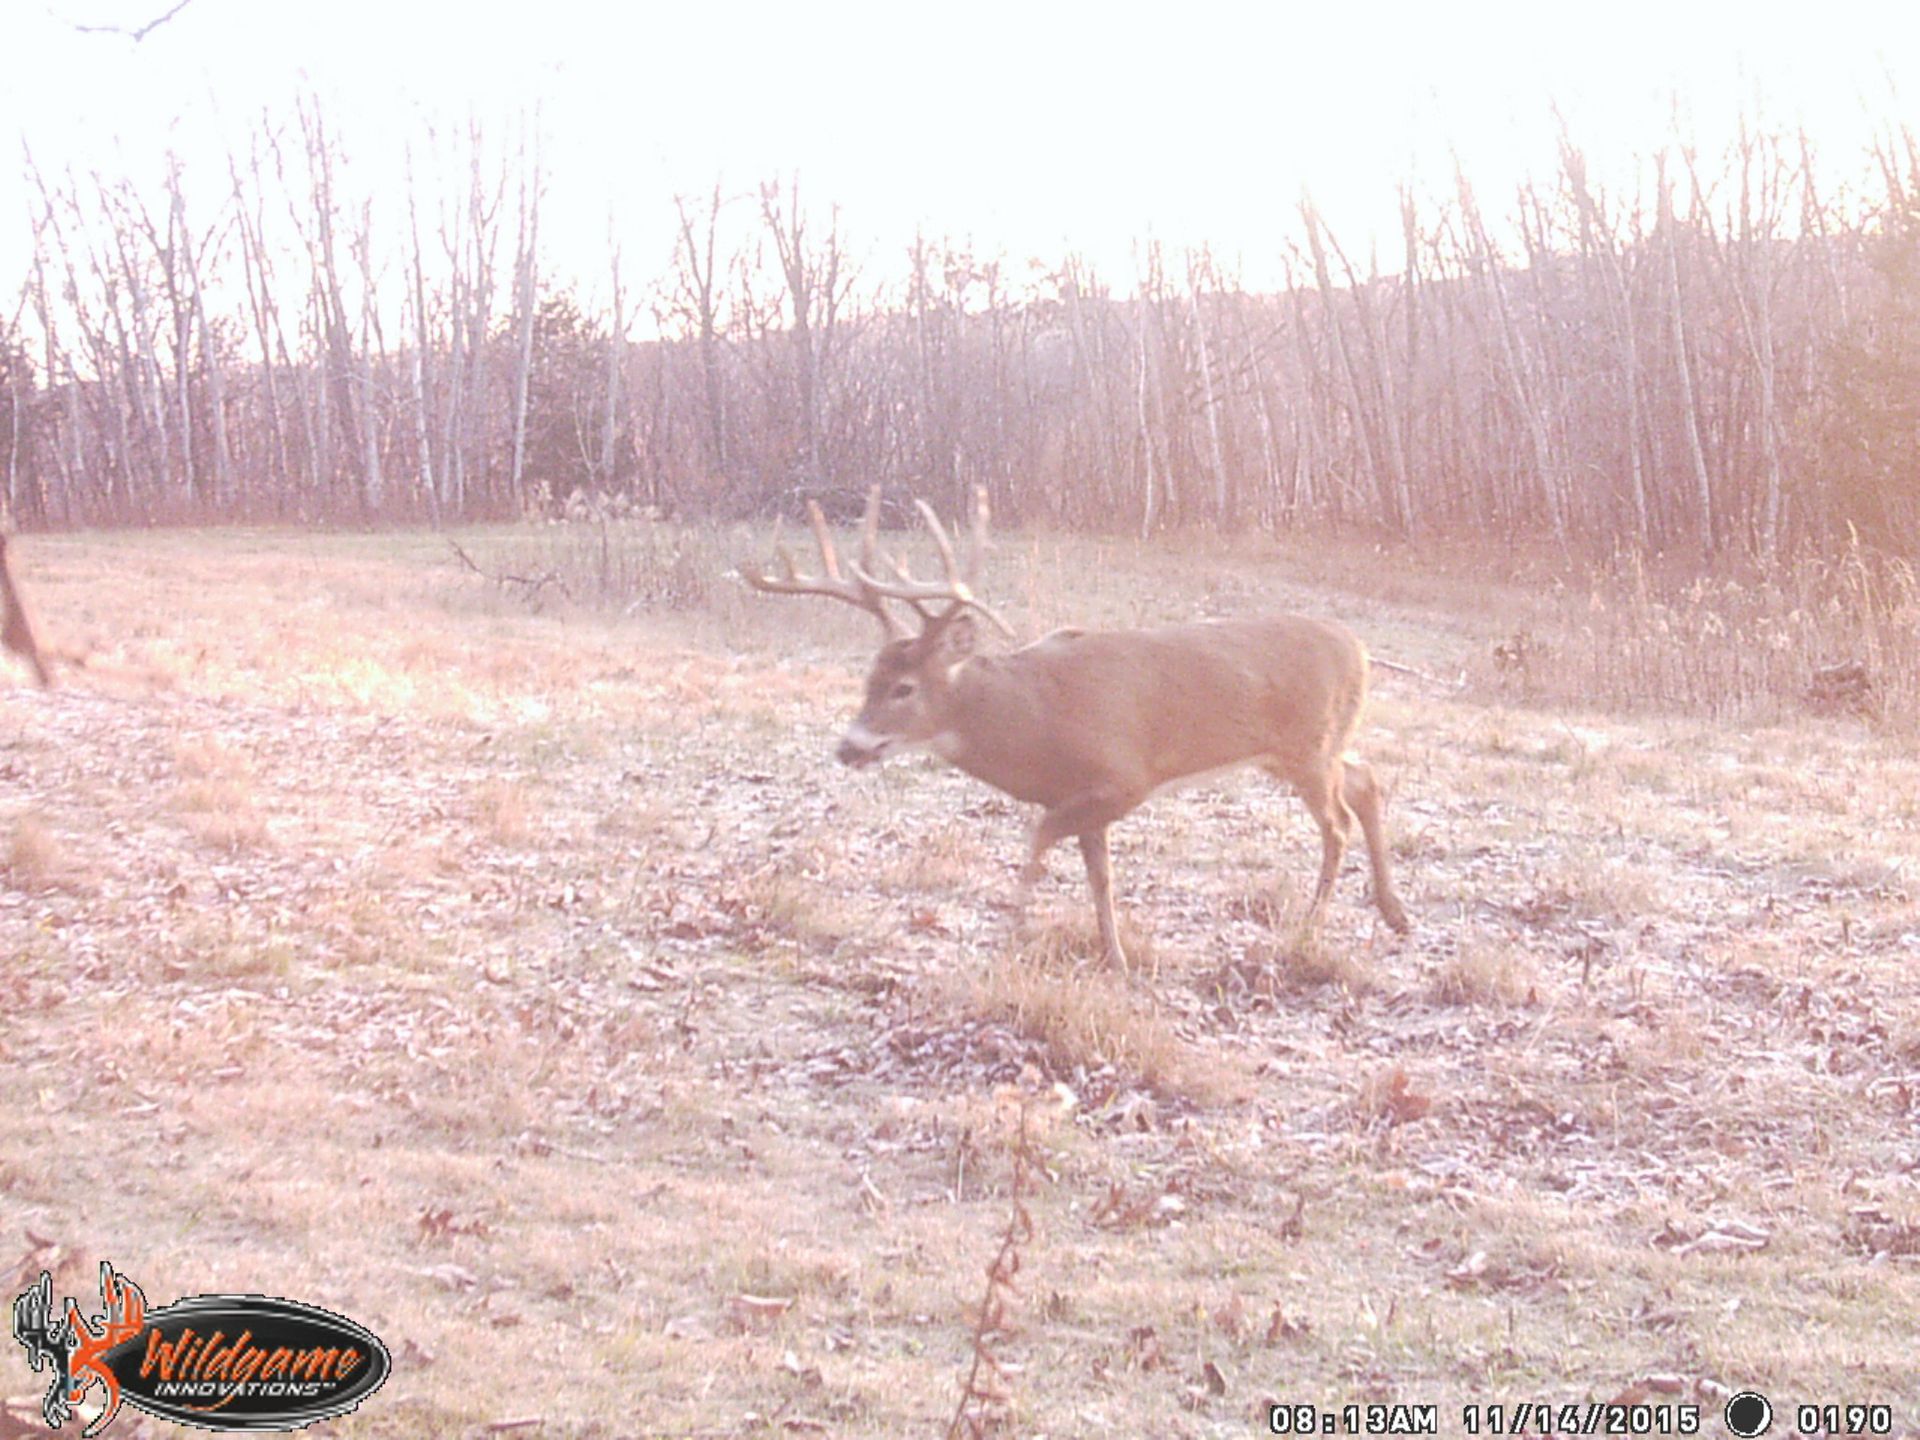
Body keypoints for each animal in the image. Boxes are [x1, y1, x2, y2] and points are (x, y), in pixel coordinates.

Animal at [741, 488, 1410, 968]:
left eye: (904, 688)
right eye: (867, 679)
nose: (848, 747)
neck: (1032, 721)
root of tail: (1359, 648)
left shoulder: (1122, 779)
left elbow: (1039, 844)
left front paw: (1009, 940)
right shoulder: (1084, 799)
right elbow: (1100, 879)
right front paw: (1114, 957)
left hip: (1307, 747)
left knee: (1337, 823)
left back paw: (1310, 927)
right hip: (1308, 748)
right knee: (1366, 780)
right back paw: (1394, 913)